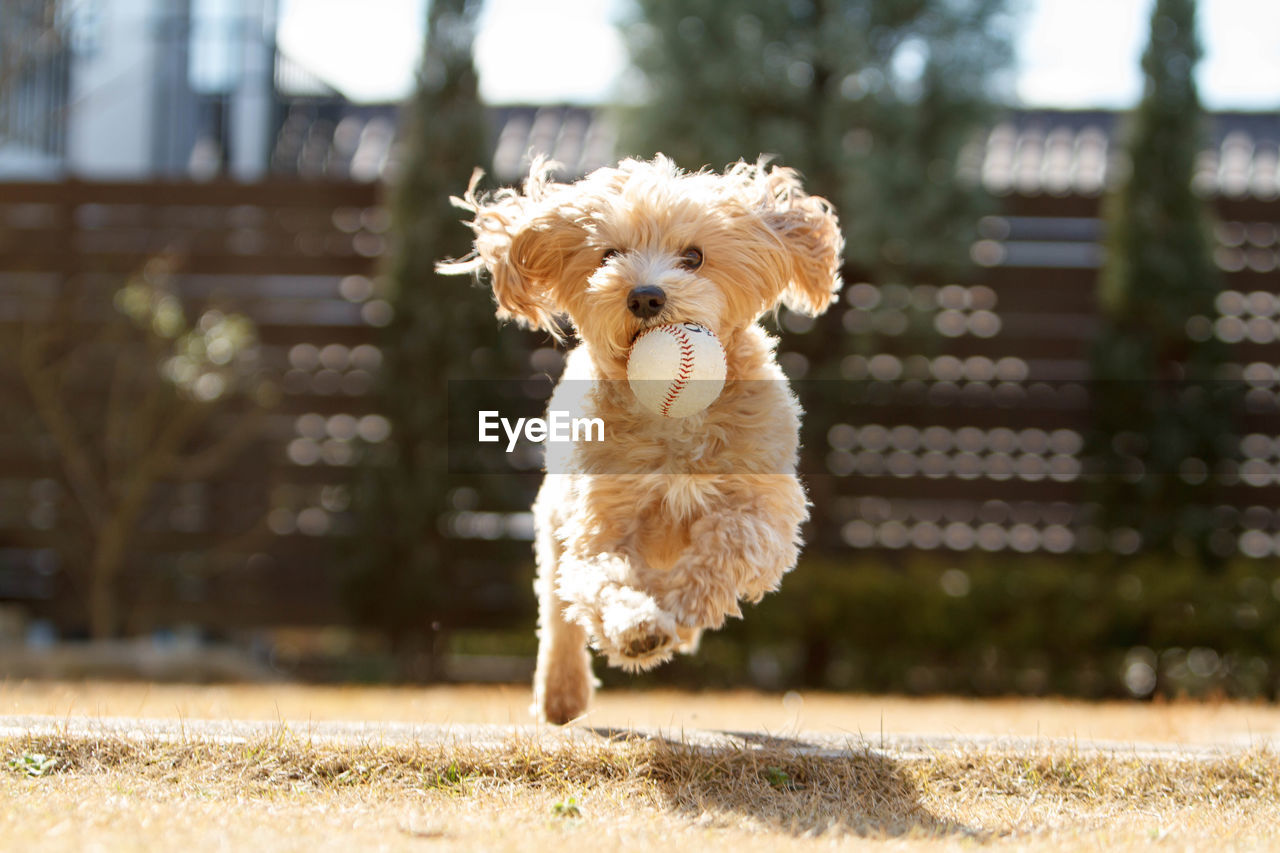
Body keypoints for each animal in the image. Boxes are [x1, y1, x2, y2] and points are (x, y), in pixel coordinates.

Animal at [440, 156, 839, 722]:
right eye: (609, 254)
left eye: (694, 257)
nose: (645, 295)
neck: (674, 419)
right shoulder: (599, 519)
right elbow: (600, 576)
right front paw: (636, 627)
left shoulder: (762, 508)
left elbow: (729, 546)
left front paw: (681, 605)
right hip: (554, 521)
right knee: (559, 610)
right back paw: (563, 691)